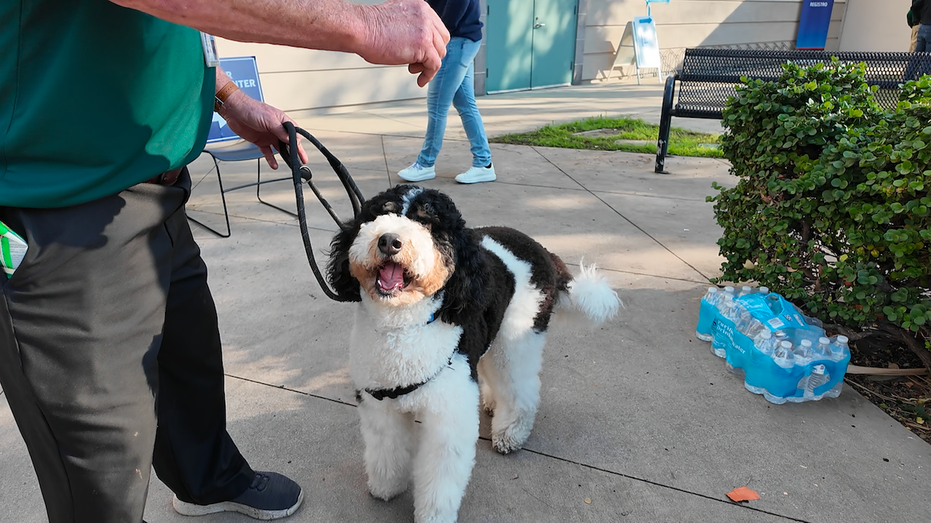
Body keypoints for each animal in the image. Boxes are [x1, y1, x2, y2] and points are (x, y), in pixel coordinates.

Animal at [326, 186, 620, 520]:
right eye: (378, 214)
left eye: (430, 223)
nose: (389, 240)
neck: (402, 328)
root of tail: (542, 250)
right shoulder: (380, 406)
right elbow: (387, 450)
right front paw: (386, 486)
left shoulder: (448, 419)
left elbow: (440, 477)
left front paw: (434, 516)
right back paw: (493, 403)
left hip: (515, 342)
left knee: (522, 390)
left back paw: (511, 433)